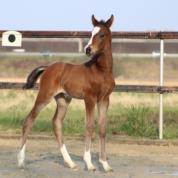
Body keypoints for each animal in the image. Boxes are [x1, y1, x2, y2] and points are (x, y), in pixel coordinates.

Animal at [17, 15, 114, 172]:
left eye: (102, 35)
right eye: (91, 33)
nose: (88, 49)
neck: (101, 71)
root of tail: (48, 67)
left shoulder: (104, 99)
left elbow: (102, 128)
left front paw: (105, 164)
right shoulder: (89, 98)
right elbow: (89, 127)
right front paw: (89, 164)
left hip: (63, 99)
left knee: (56, 123)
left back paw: (70, 163)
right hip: (44, 96)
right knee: (29, 120)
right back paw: (20, 161)